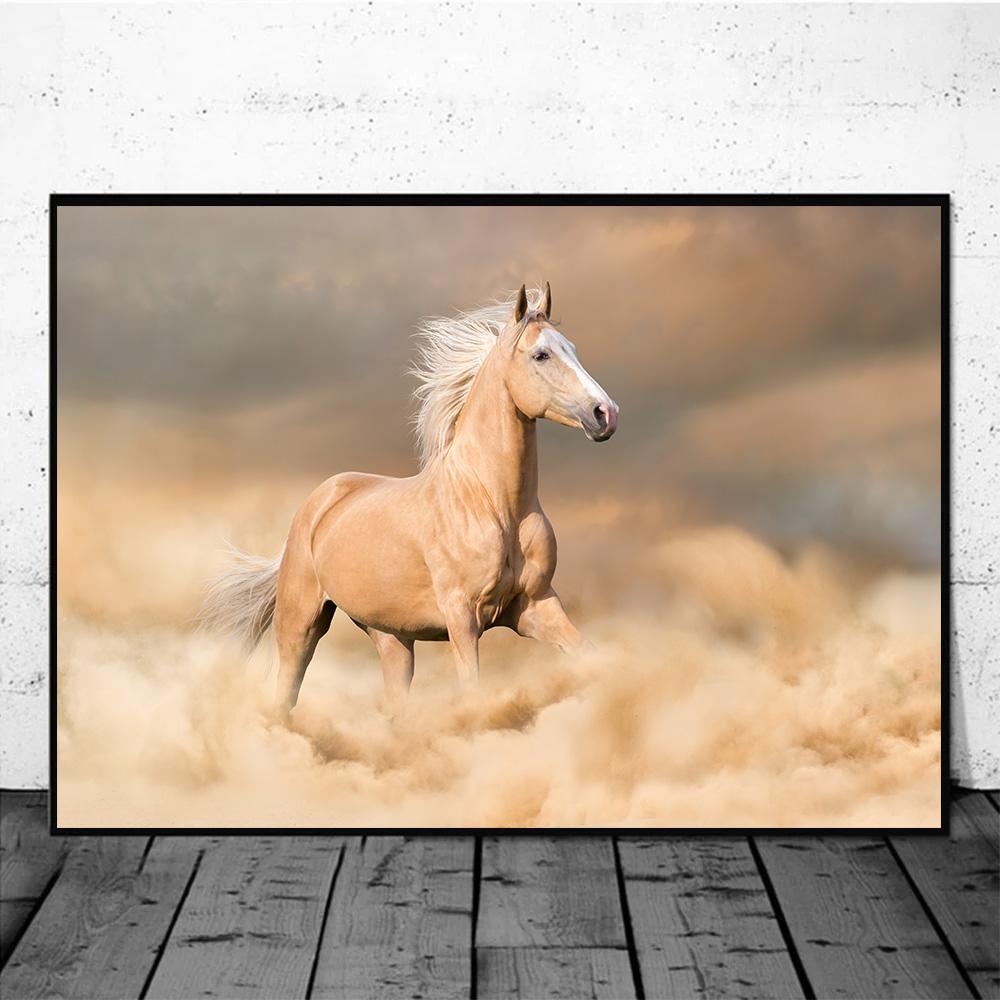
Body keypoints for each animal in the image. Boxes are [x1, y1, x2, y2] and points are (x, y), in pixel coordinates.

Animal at [202, 283, 618, 717]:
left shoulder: (535, 606)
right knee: (286, 692)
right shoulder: (463, 616)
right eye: (541, 354)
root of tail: (317, 504)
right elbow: (473, 690)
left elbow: (592, 657)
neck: (494, 505)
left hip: (391, 636)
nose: (605, 413)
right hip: (300, 623)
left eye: (572, 348)